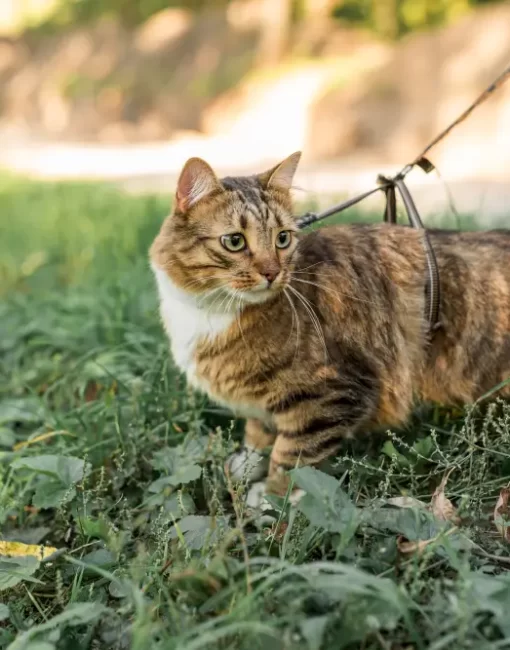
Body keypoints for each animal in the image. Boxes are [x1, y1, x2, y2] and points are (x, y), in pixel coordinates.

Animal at [150, 153, 510, 506]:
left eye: (282, 238)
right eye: (235, 242)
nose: (272, 273)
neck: (210, 310)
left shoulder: (332, 393)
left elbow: (292, 455)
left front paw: (271, 497)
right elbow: (258, 431)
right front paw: (248, 463)